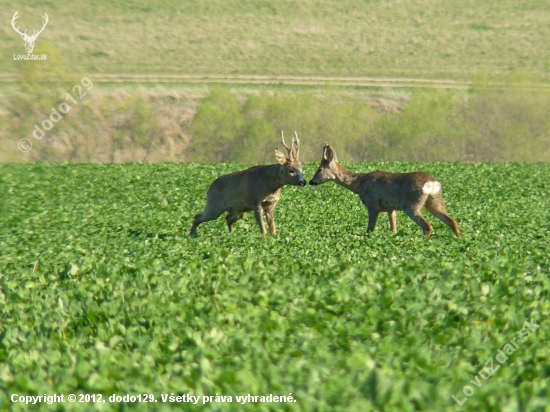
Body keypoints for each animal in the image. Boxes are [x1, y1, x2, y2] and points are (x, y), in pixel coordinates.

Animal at [310, 144, 462, 238]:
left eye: (319, 169)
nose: (311, 181)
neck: (359, 184)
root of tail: (431, 183)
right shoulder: (391, 208)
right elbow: (393, 229)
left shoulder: (372, 204)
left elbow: (370, 229)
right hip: (435, 201)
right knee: (452, 221)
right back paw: (460, 240)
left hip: (411, 205)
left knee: (427, 226)